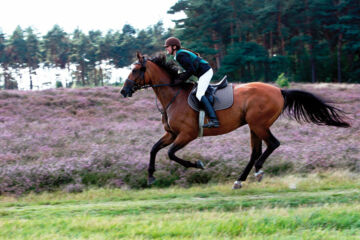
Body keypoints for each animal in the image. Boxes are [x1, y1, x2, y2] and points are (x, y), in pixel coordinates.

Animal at [120, 52, 348, 189]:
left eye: (135, 70)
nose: (123, 91)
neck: (173, 96)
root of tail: (279, 90)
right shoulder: (171, 134)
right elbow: (154, 149)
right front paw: (150, 176)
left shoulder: (187, 134)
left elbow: (170, 154)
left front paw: (198, 164)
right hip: (254, 126)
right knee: (256, 151)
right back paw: (241, 179)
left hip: (259, 124)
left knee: (272, 144)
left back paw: (258, 170)